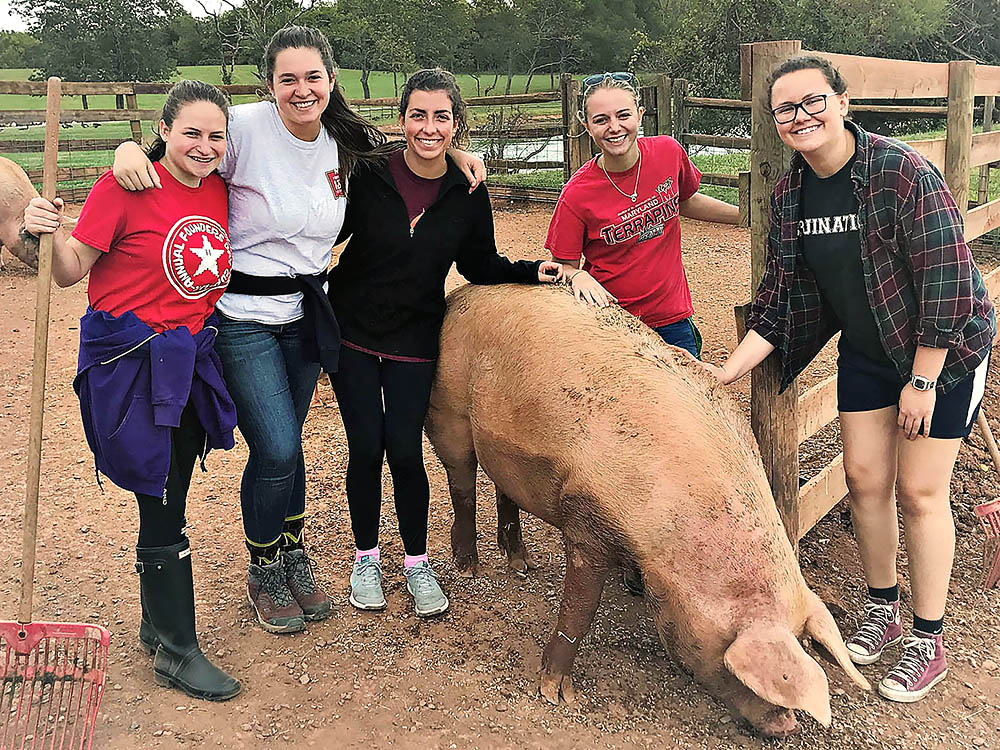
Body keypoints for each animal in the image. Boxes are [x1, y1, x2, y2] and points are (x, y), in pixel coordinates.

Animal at [426, 284, 872, 740]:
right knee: (462, 483)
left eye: (805, 644)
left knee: (503, 490)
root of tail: (458, 294)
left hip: (504, 446)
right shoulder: (587, 518)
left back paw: (520, 565)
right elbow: (579, 609)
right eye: (741, 672)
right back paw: (468, 568)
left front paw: (631, 586)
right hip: (448, 412)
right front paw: (557, 695)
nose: (786, 726)